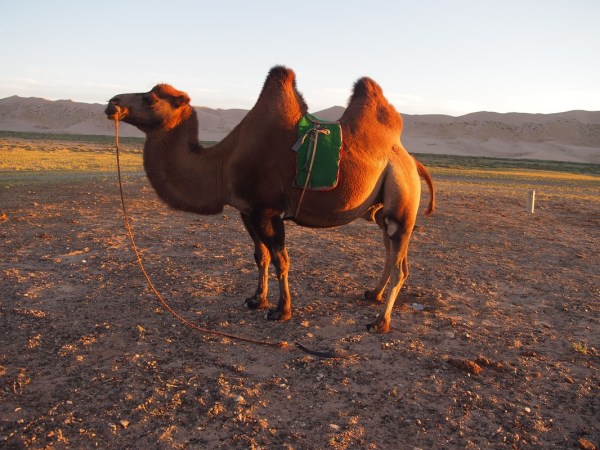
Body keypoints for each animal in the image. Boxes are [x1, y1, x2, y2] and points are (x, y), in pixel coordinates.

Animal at [105, 66, 435, 333]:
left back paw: (381, 322)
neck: (221, 163)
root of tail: (412, 160)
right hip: (380, 208)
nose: (112, 103)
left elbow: (280, 259)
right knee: (391, 253)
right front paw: (256, 300)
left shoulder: (268, 211)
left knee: (400, 261)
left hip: (401, 196)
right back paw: (373, 294)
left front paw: (281, 311)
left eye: (150, 98)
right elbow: (260, 256)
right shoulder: (247, 210)